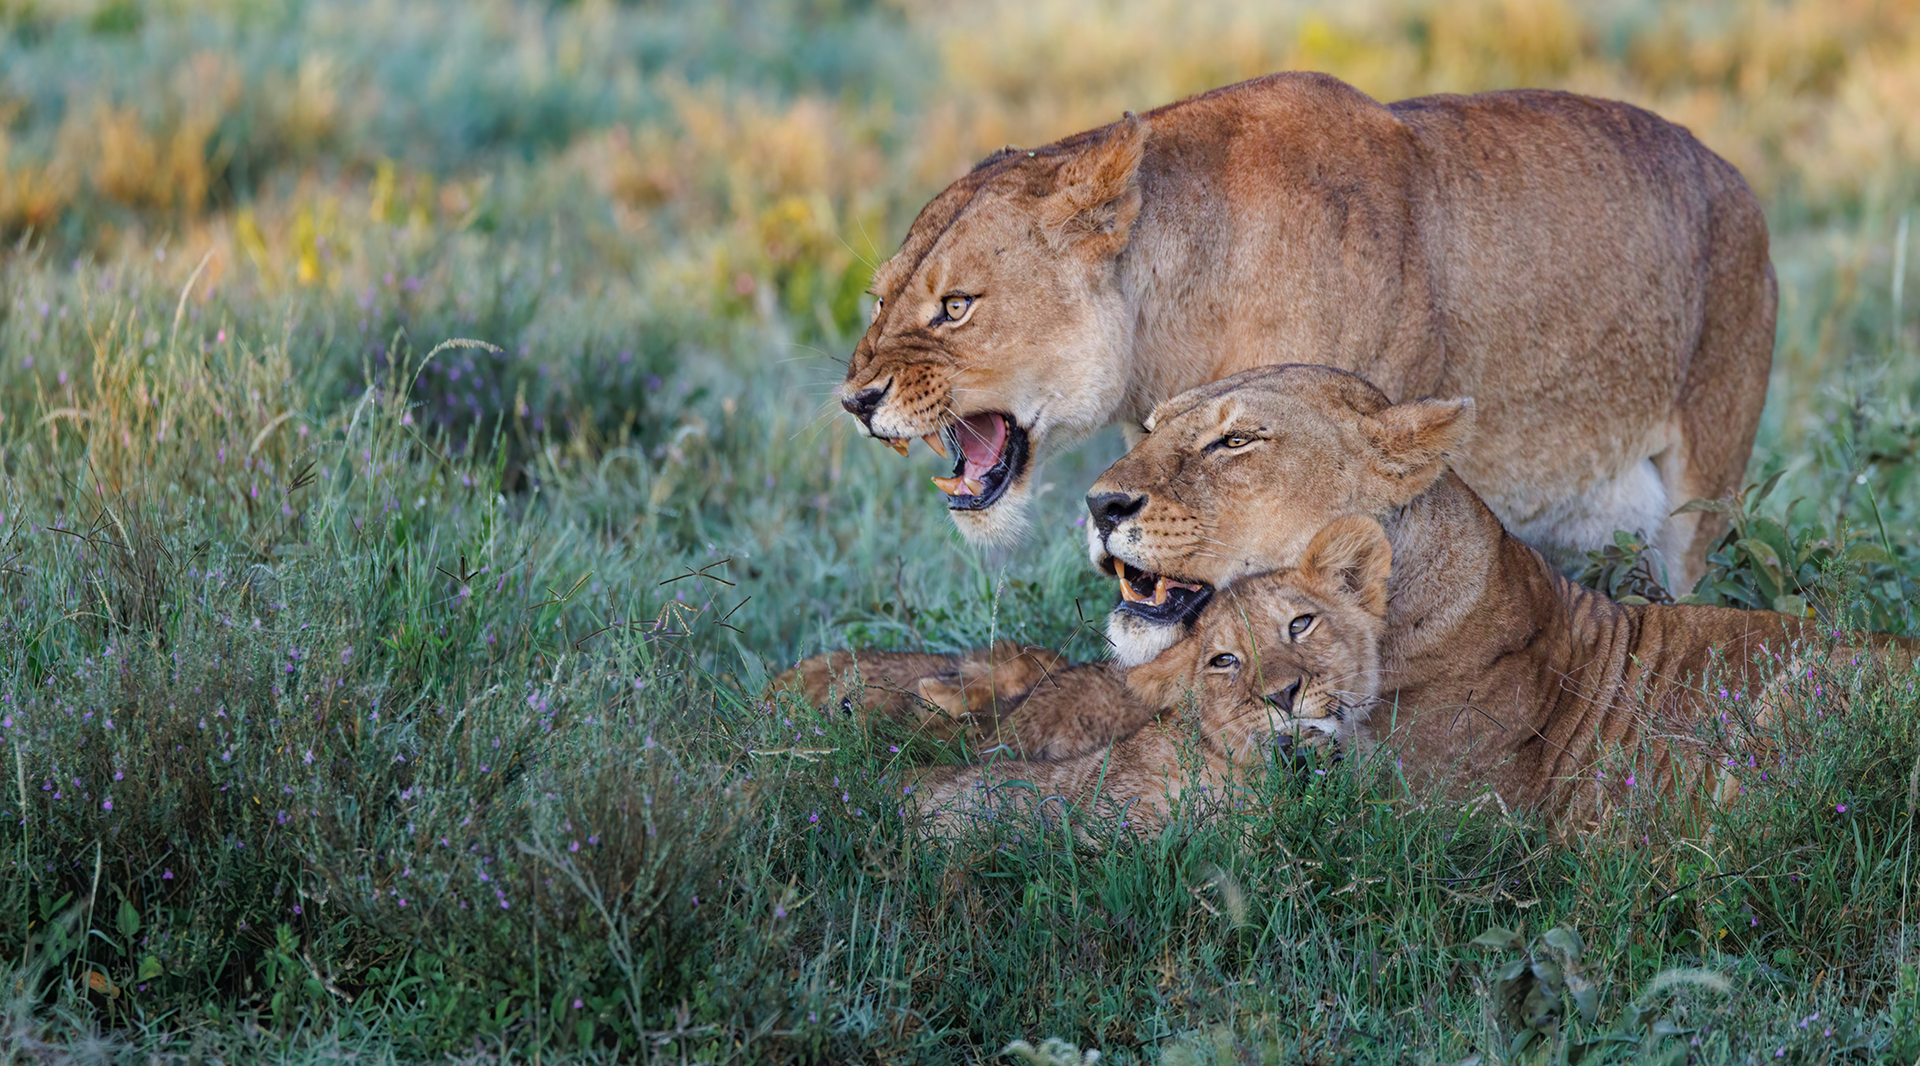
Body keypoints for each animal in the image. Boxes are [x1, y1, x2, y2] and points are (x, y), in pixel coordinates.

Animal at [839, 71, 1775, 591]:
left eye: (956, 306)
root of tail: (1735, 175)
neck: (1170, 322)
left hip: (1704, 489)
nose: (855, 401)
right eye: (879, 298)